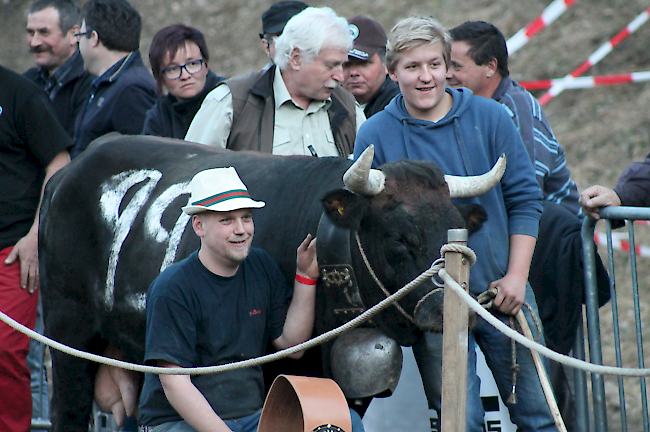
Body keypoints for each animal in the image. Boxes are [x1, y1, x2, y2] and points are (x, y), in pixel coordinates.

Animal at [38, 133, 498, 430]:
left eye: (455, 229)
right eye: (398, 237)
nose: (449, 306)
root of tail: (68, 173)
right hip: (67, 332)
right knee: (68, 412)